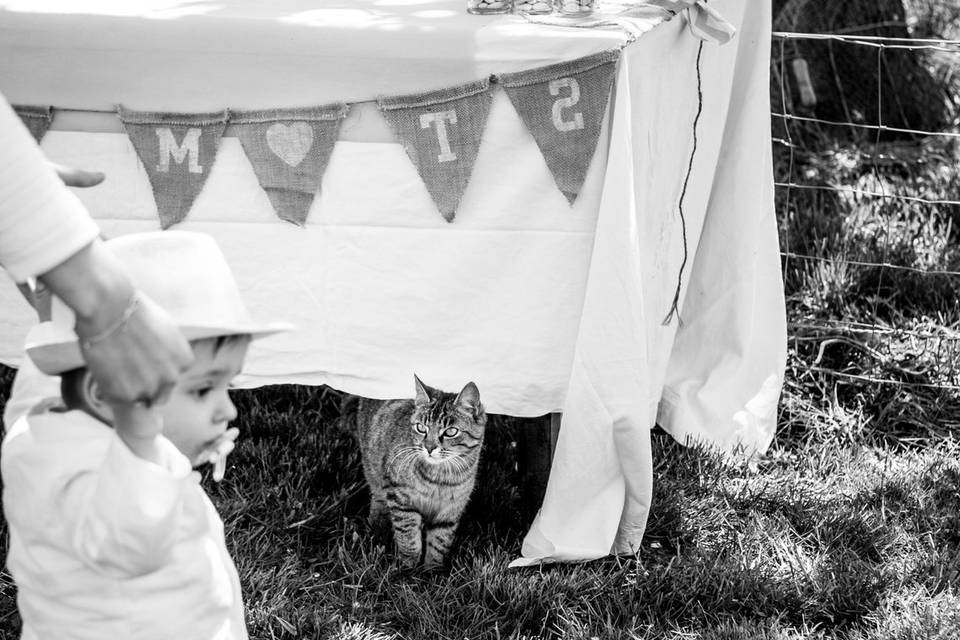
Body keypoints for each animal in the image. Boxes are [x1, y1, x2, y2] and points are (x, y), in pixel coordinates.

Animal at [354, 376, 484, 568]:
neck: (442, 477)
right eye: (421, 428)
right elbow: (408, 538)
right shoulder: (400, 498)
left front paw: (432, 570)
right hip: (374, 470)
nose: (429, 447)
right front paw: (408, 568)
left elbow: (439, 543)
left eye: (451, 431)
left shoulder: (451, 510)